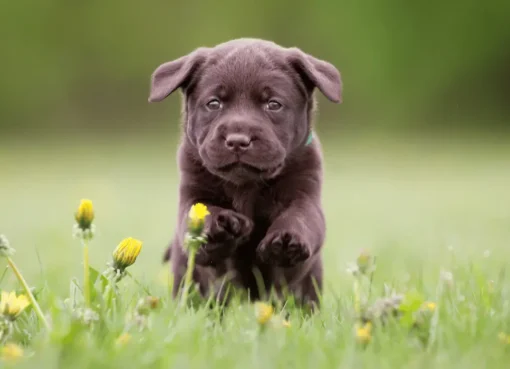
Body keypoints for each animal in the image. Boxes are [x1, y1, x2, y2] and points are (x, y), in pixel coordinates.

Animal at [149, 38, 340, 306]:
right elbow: (201, 213)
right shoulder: (191, 194)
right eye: (214, 103)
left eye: (273, 104)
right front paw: (222, 225)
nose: (238, 140)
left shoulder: (306, 192)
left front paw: (286, 239)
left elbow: (301, 216)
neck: (246, 186)